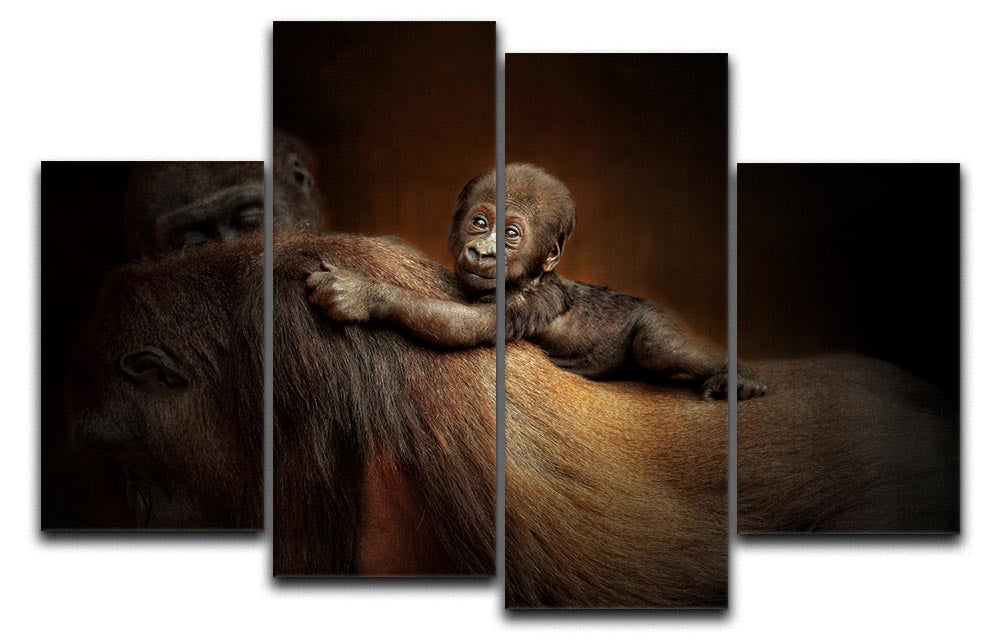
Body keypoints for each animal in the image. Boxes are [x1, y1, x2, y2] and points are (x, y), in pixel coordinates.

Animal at [306, 163, 766, 400]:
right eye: (480, 223)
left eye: (510, 234)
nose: (483, 251)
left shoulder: (535, 297)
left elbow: (468, 326)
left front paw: (363, 295)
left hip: (650, 319)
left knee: (658, 345)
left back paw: (737, 373)